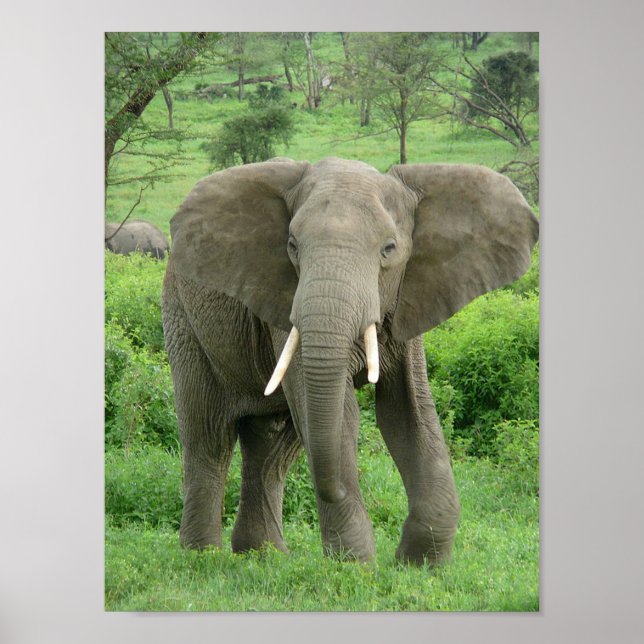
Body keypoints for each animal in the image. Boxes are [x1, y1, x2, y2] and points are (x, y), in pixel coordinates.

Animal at [161, 157, 539, 564]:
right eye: (292, 246)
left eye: (389, 248)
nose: (337, 489)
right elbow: (341, 415)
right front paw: (355, 565)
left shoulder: (408, 298)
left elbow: (408, 411)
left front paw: (419, 564)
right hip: (183, 319)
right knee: (209, 435)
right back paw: (203, 557)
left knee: (272, 449)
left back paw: (265, 557)